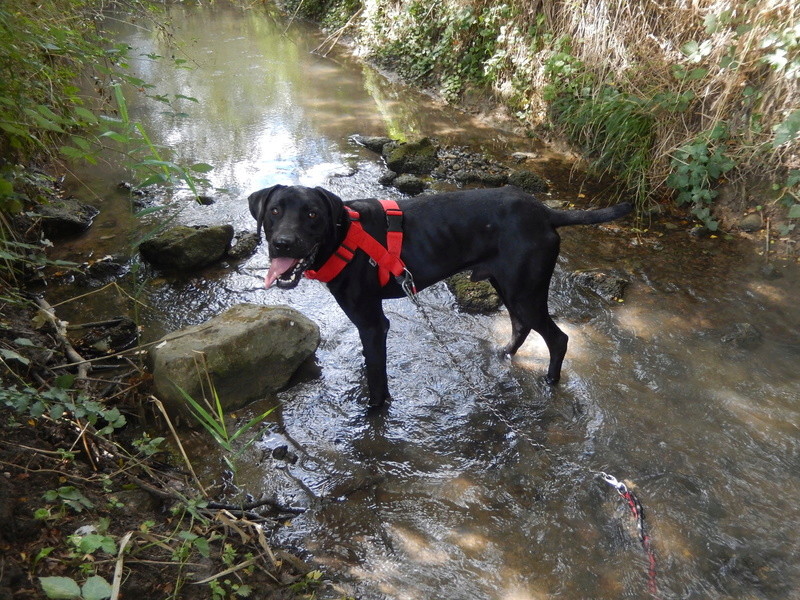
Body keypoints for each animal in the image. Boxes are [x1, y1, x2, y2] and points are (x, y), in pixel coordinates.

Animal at [247, 184, 628, 408]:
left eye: (312, 214)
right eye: (274, 211)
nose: (283, 243)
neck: (343, 235)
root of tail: (546, 213)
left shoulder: (373, 324)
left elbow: (377, 382)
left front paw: (374, 411)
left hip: (525, 291)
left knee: (558, 338)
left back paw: (550, 381)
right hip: (509, 286)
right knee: (521, 326)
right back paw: (503, 354)